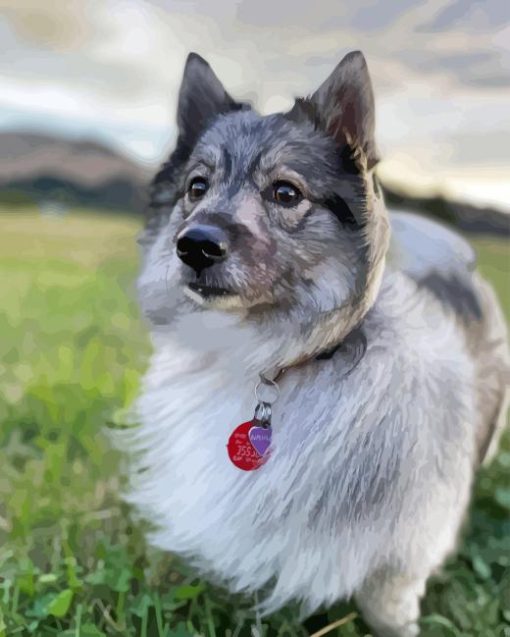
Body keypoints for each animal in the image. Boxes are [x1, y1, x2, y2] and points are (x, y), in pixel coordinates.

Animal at [121, 51, 508, 636]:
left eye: (285, 193)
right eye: (196, 187)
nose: (195, 246)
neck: (279, 357)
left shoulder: (404, 554)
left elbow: (389, 603)